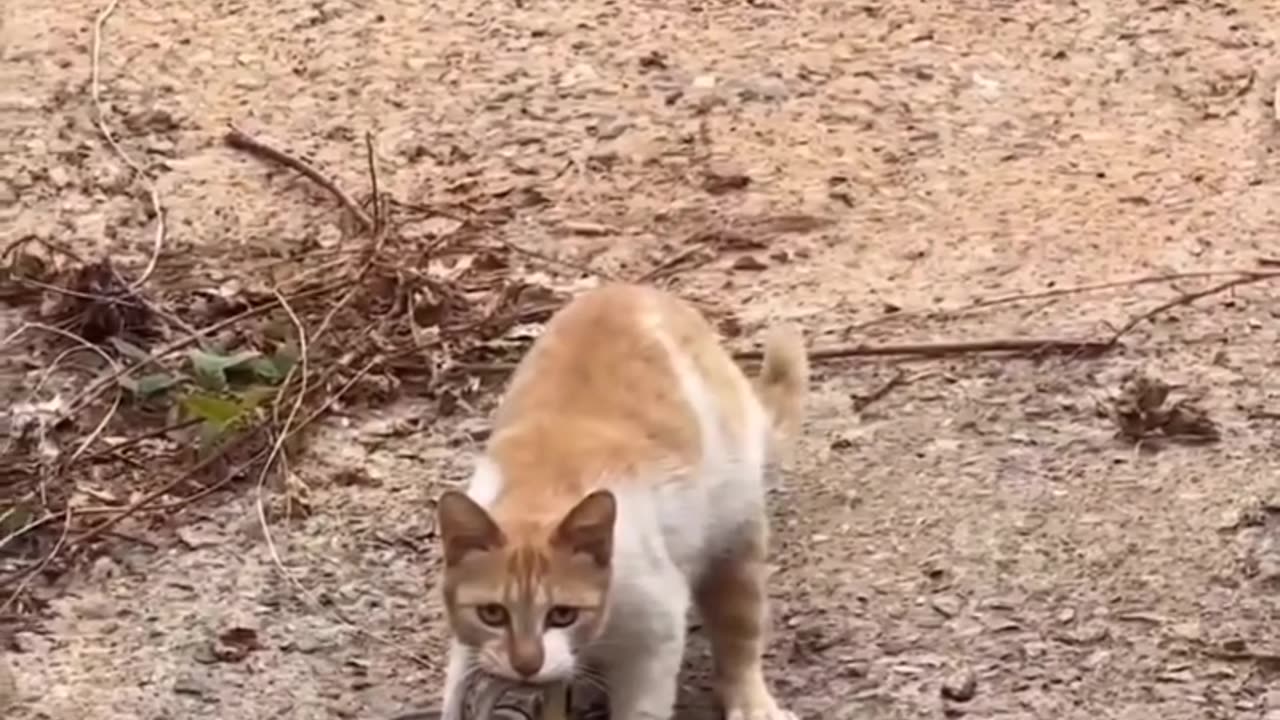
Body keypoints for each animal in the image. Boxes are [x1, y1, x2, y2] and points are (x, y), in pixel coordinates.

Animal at [435, 281, 803, 717]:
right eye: (492, 614)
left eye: (562, 614)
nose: (527, 664)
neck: (539, 493)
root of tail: (628, 288)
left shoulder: (655, 629)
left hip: (733, 533)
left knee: (739, 631)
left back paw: (749, 700)